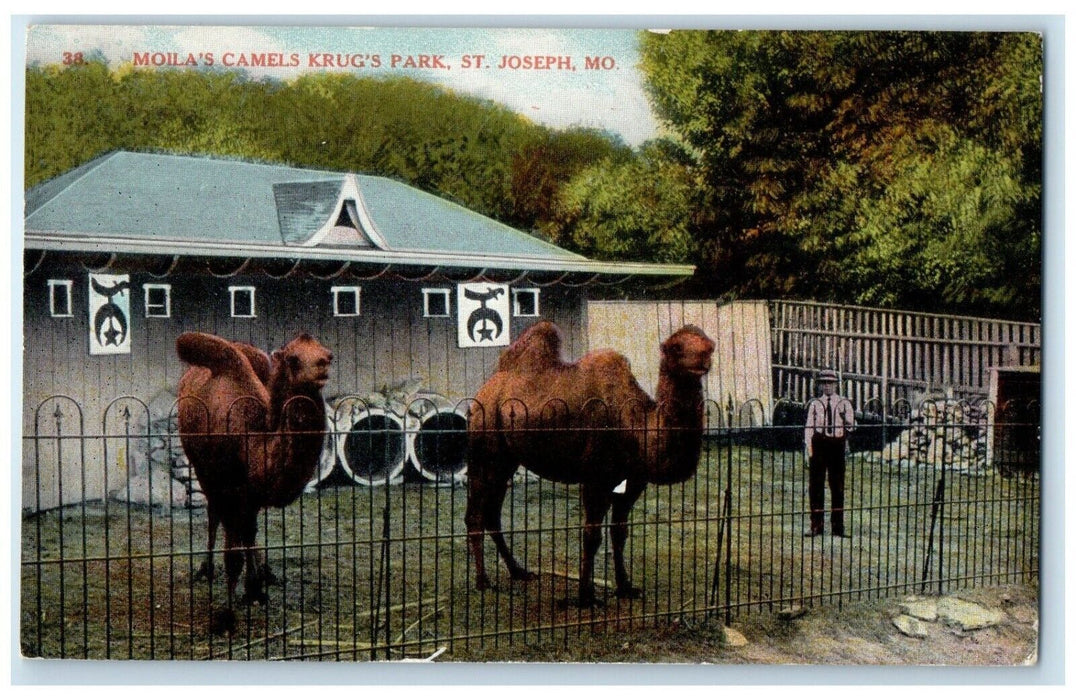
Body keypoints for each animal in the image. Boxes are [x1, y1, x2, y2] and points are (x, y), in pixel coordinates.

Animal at [175, 331, 331, 627]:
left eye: (328, 353)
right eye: (293, 359)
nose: (323, 366)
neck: (254, 443)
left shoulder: (252, 493)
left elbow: (250, 532)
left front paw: (255, 589)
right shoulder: (228, 487)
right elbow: (233, 553)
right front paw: (225, 617)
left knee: (246, 529)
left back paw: (262, 576)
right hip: (203, 469)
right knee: (214, 515)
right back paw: (206, 569)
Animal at [464, 320, 710, 606]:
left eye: (710, 344)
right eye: (676, 347)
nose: (704, 357)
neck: (636, 426)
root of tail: (486, 388)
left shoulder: (633, 482)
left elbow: (620, 532)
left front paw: (625, 587)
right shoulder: (595, 477)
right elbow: (592, 535)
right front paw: (586, 596)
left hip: (507, 460)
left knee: (492, 514)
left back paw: (519, 571)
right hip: (485, 443)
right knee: (476, 514)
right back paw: (483, 581)